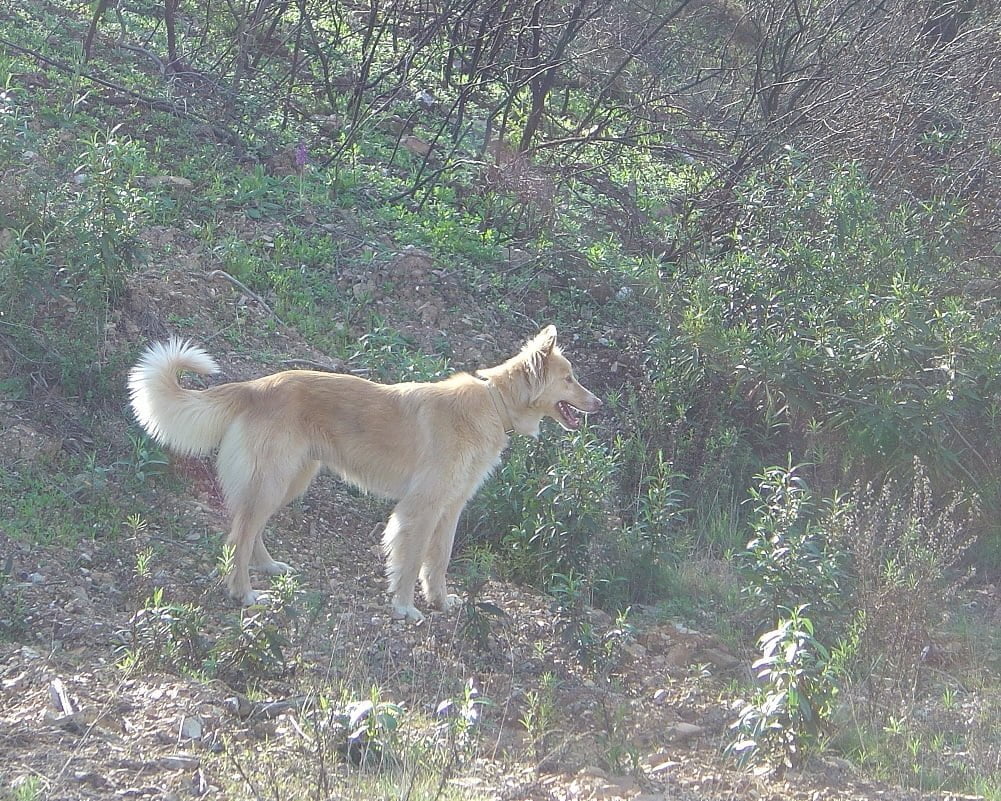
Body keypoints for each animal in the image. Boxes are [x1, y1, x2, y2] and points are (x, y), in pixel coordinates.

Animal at [131, 324, 600, 620]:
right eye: (570, 378)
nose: (599, 405)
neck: (493, 403)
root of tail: (255, 387)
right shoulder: (421, 508)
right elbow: (410, 561)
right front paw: (405, 607)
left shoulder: (450, 510)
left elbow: (439, 561)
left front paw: (441, 602)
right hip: (274, 480)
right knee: (238, 536)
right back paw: (244, 593)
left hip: (288, 481)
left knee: (248, 530)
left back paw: (267, 567)